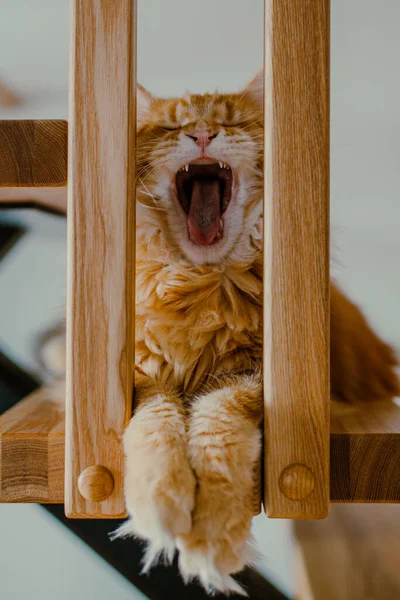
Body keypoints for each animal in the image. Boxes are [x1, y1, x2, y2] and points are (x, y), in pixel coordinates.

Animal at [42, 70, 398, 596]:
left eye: (230, 122)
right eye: (173, 127)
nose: (203, 133)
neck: (198, 287)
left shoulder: (249, 375)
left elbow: (216, 427)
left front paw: (211, 533)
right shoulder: (143, 374)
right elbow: (156, 427)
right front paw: (161, 498)